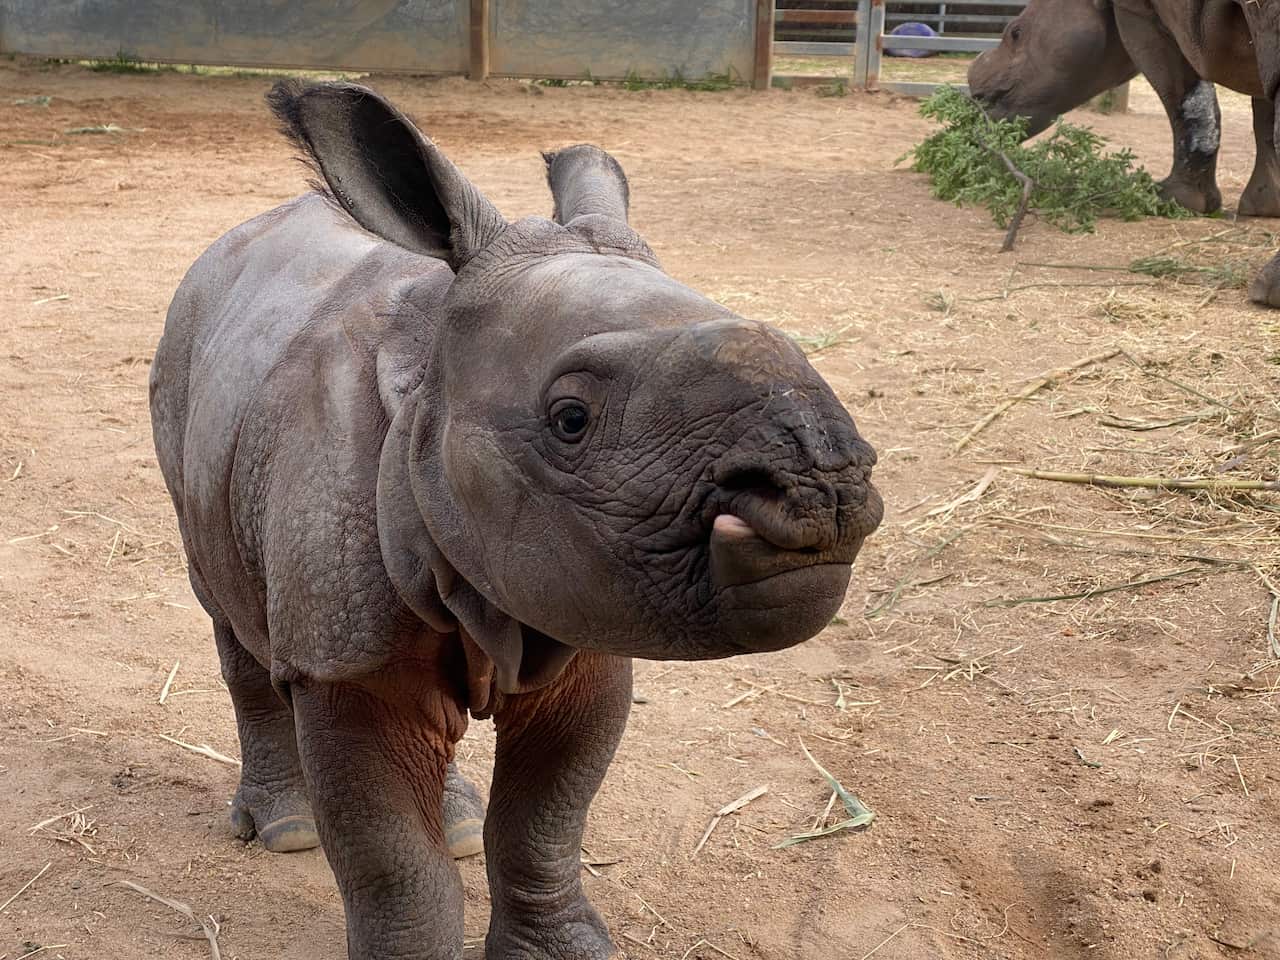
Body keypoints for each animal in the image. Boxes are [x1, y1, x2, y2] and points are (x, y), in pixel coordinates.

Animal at [149, 80, 883, 959]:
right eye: (570, 420)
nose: (824, 488)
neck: (428, 374)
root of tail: (228, 244)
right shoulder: (343, 655)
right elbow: (395, 865)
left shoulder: (582, 609)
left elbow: (544, 822)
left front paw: (560, 949)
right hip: (184, 370)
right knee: (226, 608)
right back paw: (287, 831)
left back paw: (456, 823)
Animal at [967, 0, 1280, 305]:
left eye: (1016, 33)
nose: (976, 97)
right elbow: (1263, 112)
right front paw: (1264, 205)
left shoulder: (1138, 13)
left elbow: (1183, 92)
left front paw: (1171, 198)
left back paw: (1265, 293)